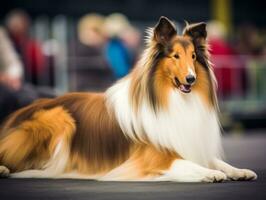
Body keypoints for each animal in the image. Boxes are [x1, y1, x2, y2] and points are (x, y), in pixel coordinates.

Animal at [0, 16, 258, 182]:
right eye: (175, 56)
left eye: (194, 56)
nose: (191, 79)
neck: (171, 99)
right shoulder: (152, 157)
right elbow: (185, 163)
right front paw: (211, 173)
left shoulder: (190, 145)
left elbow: (214, 160)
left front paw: (239, 170)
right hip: (58, 117)